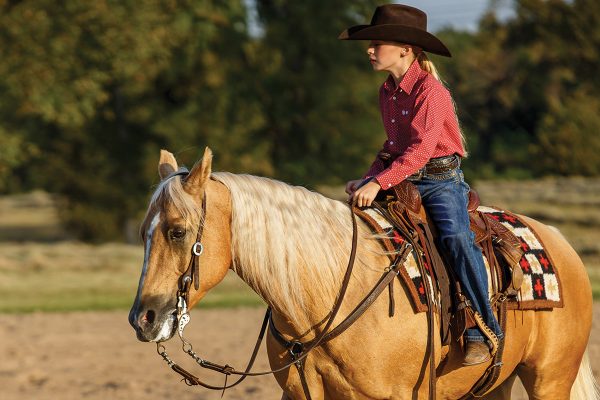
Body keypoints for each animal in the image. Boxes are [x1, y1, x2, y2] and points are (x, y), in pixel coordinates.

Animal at [126, 148, 596, 398]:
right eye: (143, 232)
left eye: (178, 231)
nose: (142, 318)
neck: (331, 292)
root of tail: (560, 244)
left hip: (549, 379)